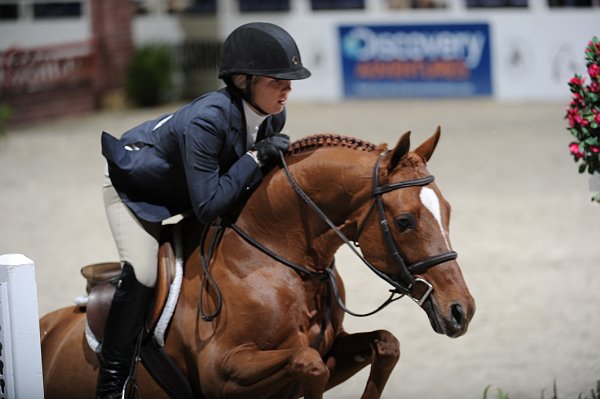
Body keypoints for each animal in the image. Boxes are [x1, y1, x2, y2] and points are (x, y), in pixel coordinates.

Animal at [39, 130, 476, 398]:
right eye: (404, 222)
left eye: (448, 211)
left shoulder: (331, 350)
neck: (277, 255)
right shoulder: (222, 373)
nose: (462, 311)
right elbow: (308, 362)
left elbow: (385, 344)